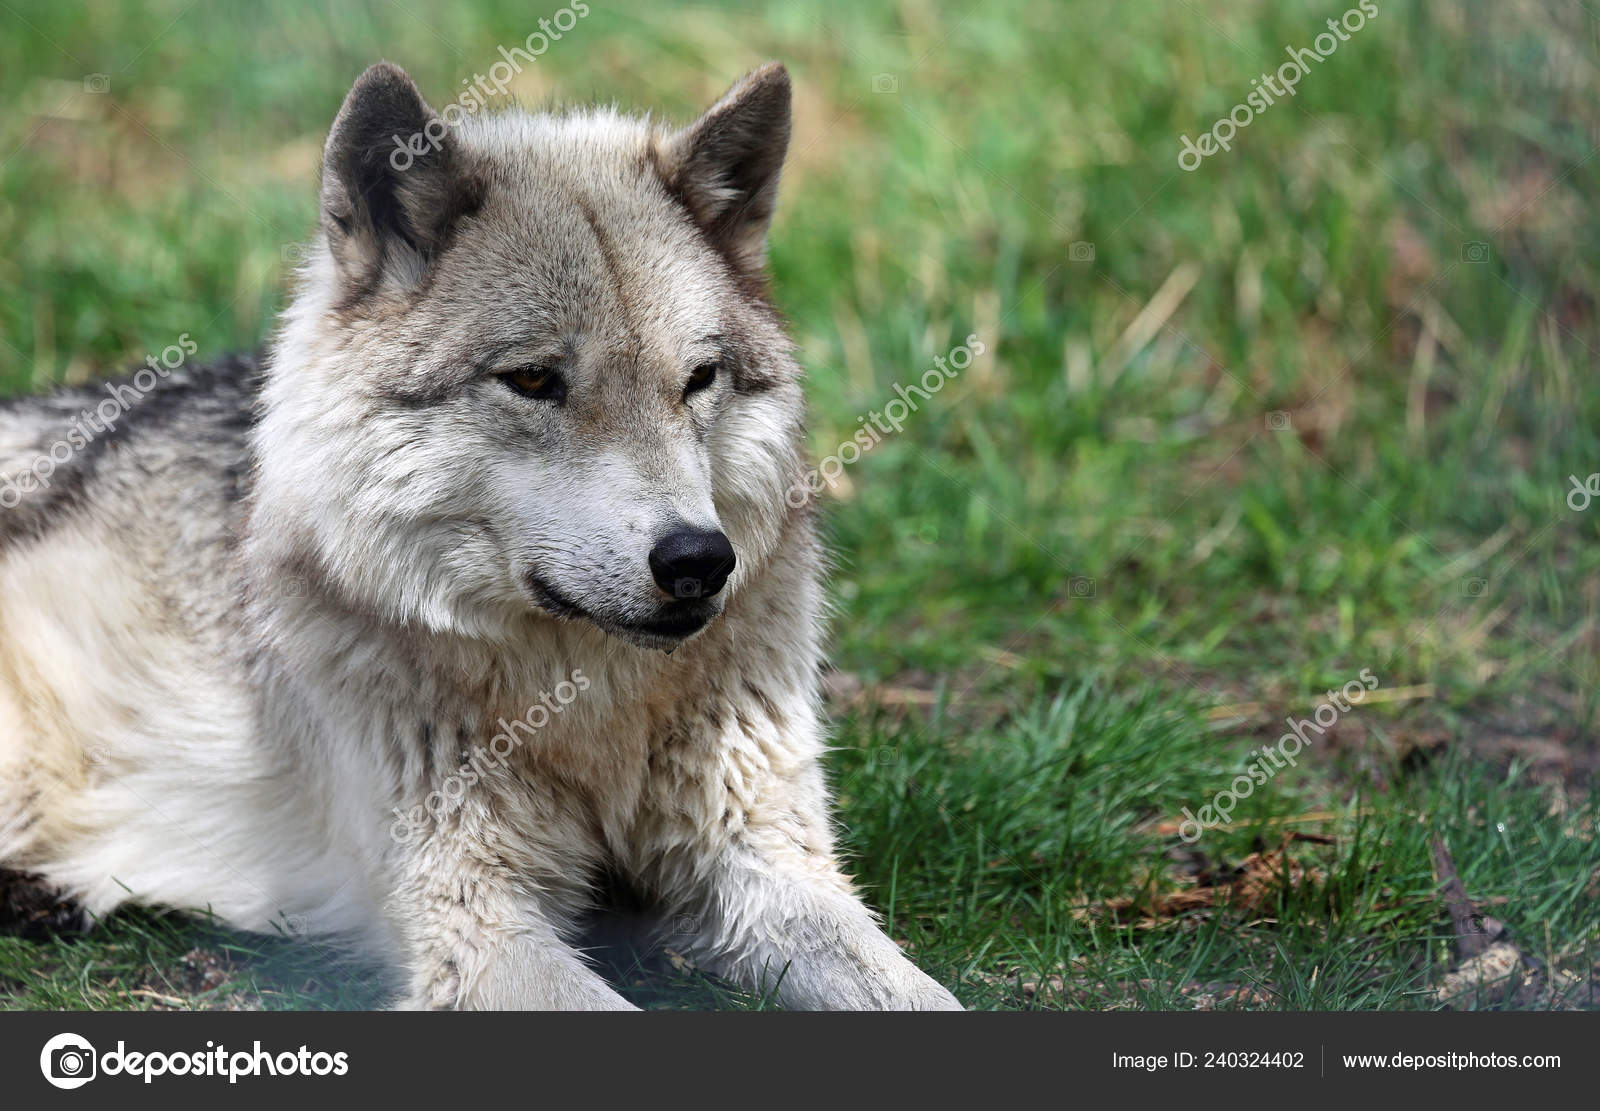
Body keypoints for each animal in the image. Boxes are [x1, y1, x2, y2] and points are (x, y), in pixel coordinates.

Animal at [0, 61, 962, 1010]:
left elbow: (923, 995)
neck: (589, 706)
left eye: (699, 379)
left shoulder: (764, 861)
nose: (699, 559)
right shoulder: (475, 923)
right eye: (533, 379)